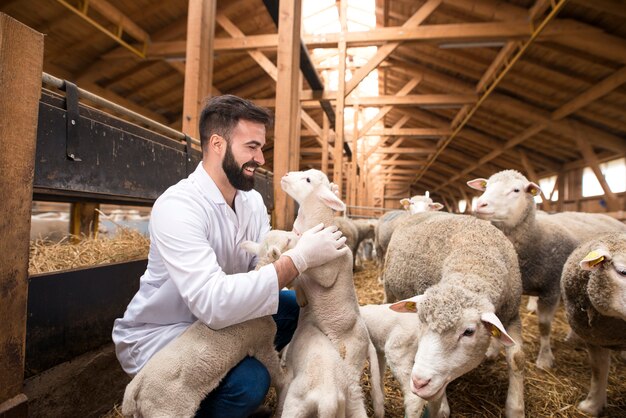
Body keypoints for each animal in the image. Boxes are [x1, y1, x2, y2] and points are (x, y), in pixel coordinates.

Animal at [382, 214, 524, 416]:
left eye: (469, 332)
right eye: (420, 322)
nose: (419, 382)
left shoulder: (512, 315)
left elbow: (517, 359)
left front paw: (515, 409)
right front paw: (441, 407)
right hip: (389, 285)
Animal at [466, 170, 576, 370]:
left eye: (516, 190)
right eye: (486, 186)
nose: (480, 204)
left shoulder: (551, 290)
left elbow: (544, 326)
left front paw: (544, 359)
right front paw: (492, 351)